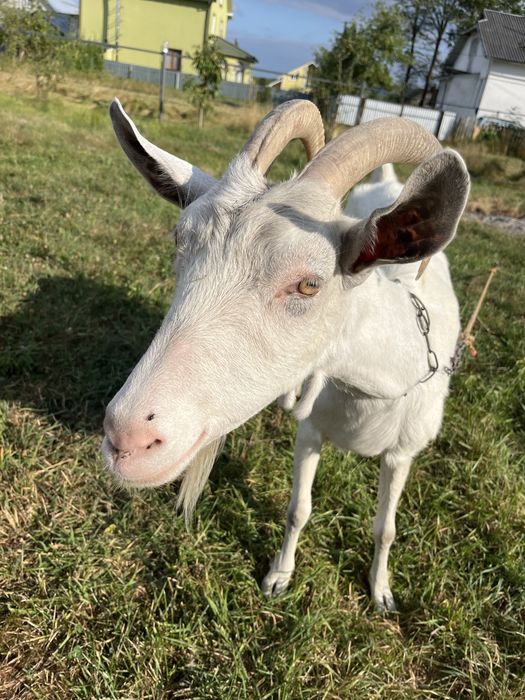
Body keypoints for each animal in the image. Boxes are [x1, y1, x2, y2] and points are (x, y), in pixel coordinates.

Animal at [102, 99, 469, 610]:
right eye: (179, 243)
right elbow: (299, 509)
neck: (378, 382)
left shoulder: (403, 453)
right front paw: (279, 575)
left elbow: (386, 528)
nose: (127, 438)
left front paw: (381, 592)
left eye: (309, 284)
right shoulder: (311, 430)